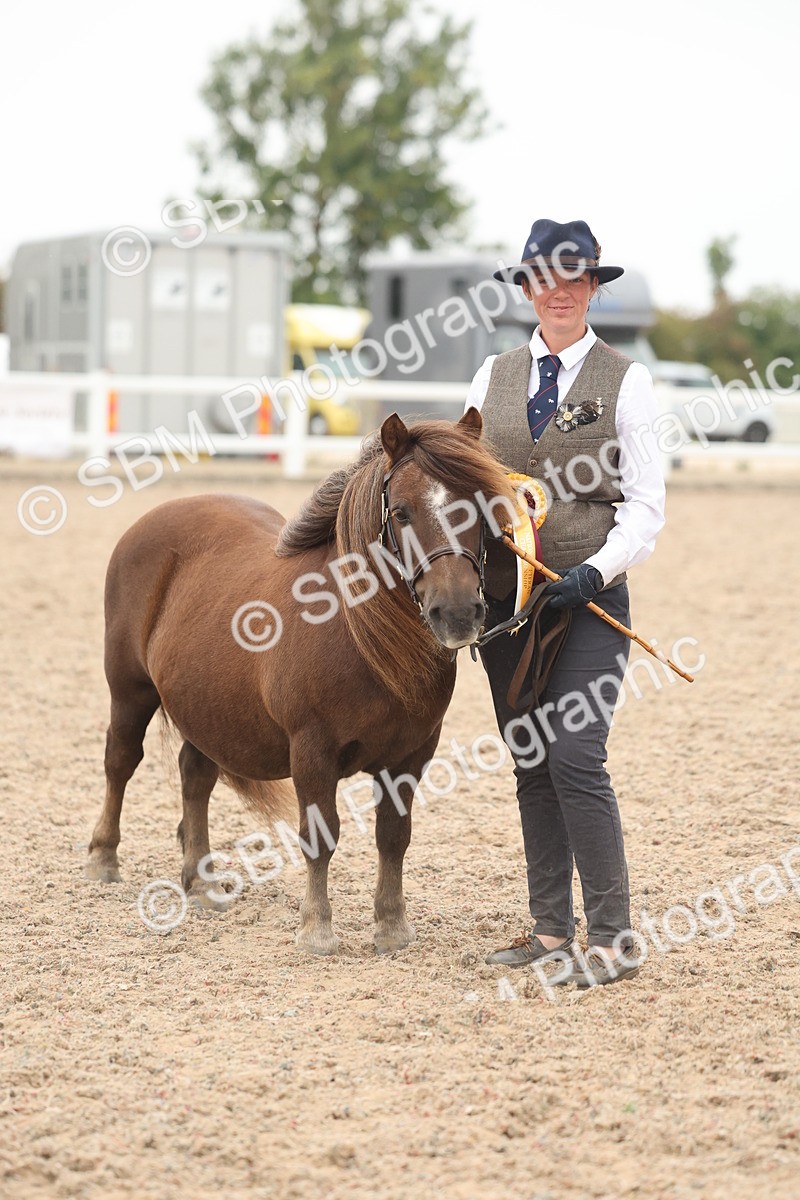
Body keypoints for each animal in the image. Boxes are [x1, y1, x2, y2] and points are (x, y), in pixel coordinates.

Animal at [85, 408, 515, 955]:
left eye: (480, 507)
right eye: (400, 512)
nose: (458, 613)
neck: (357, 632)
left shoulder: (411, 755)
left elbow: (394, 835)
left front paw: (391, 925)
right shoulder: (312, 751)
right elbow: (320, 834)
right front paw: (317, 928)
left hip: (205, 706)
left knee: (195, 777)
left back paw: (200, 880)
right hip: (130, 690)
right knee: (120, 760)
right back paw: (103, 857)